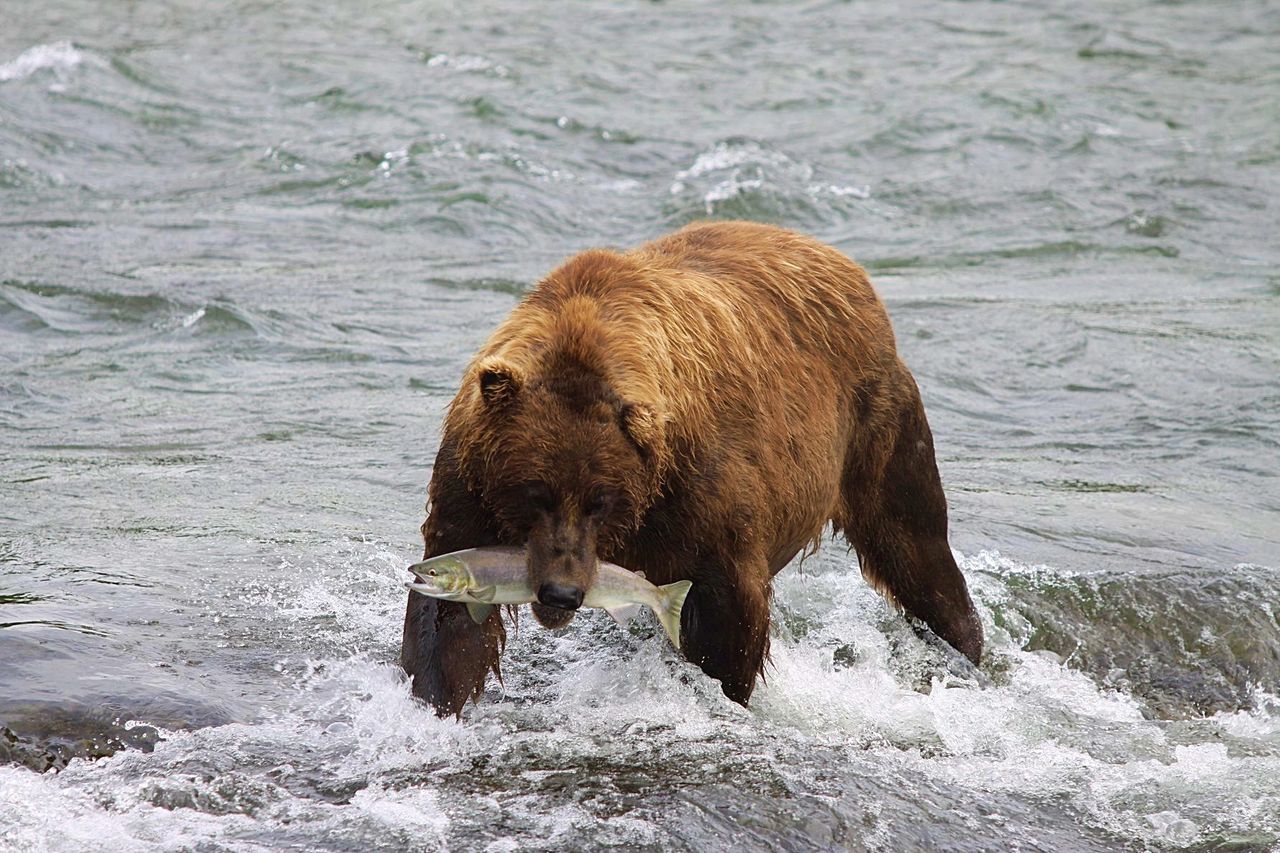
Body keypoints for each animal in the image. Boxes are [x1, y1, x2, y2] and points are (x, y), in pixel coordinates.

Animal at [400, 220, 983, 716]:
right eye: (533, 492)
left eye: (599, 501)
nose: (562, 593)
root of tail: (842, 262)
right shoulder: (469, 481)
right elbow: (450, 626)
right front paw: (438, 698)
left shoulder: (701, 492)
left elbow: (729, 615)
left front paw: (723, 692)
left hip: (877, 425)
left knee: (916, 544)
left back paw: (968, 648)